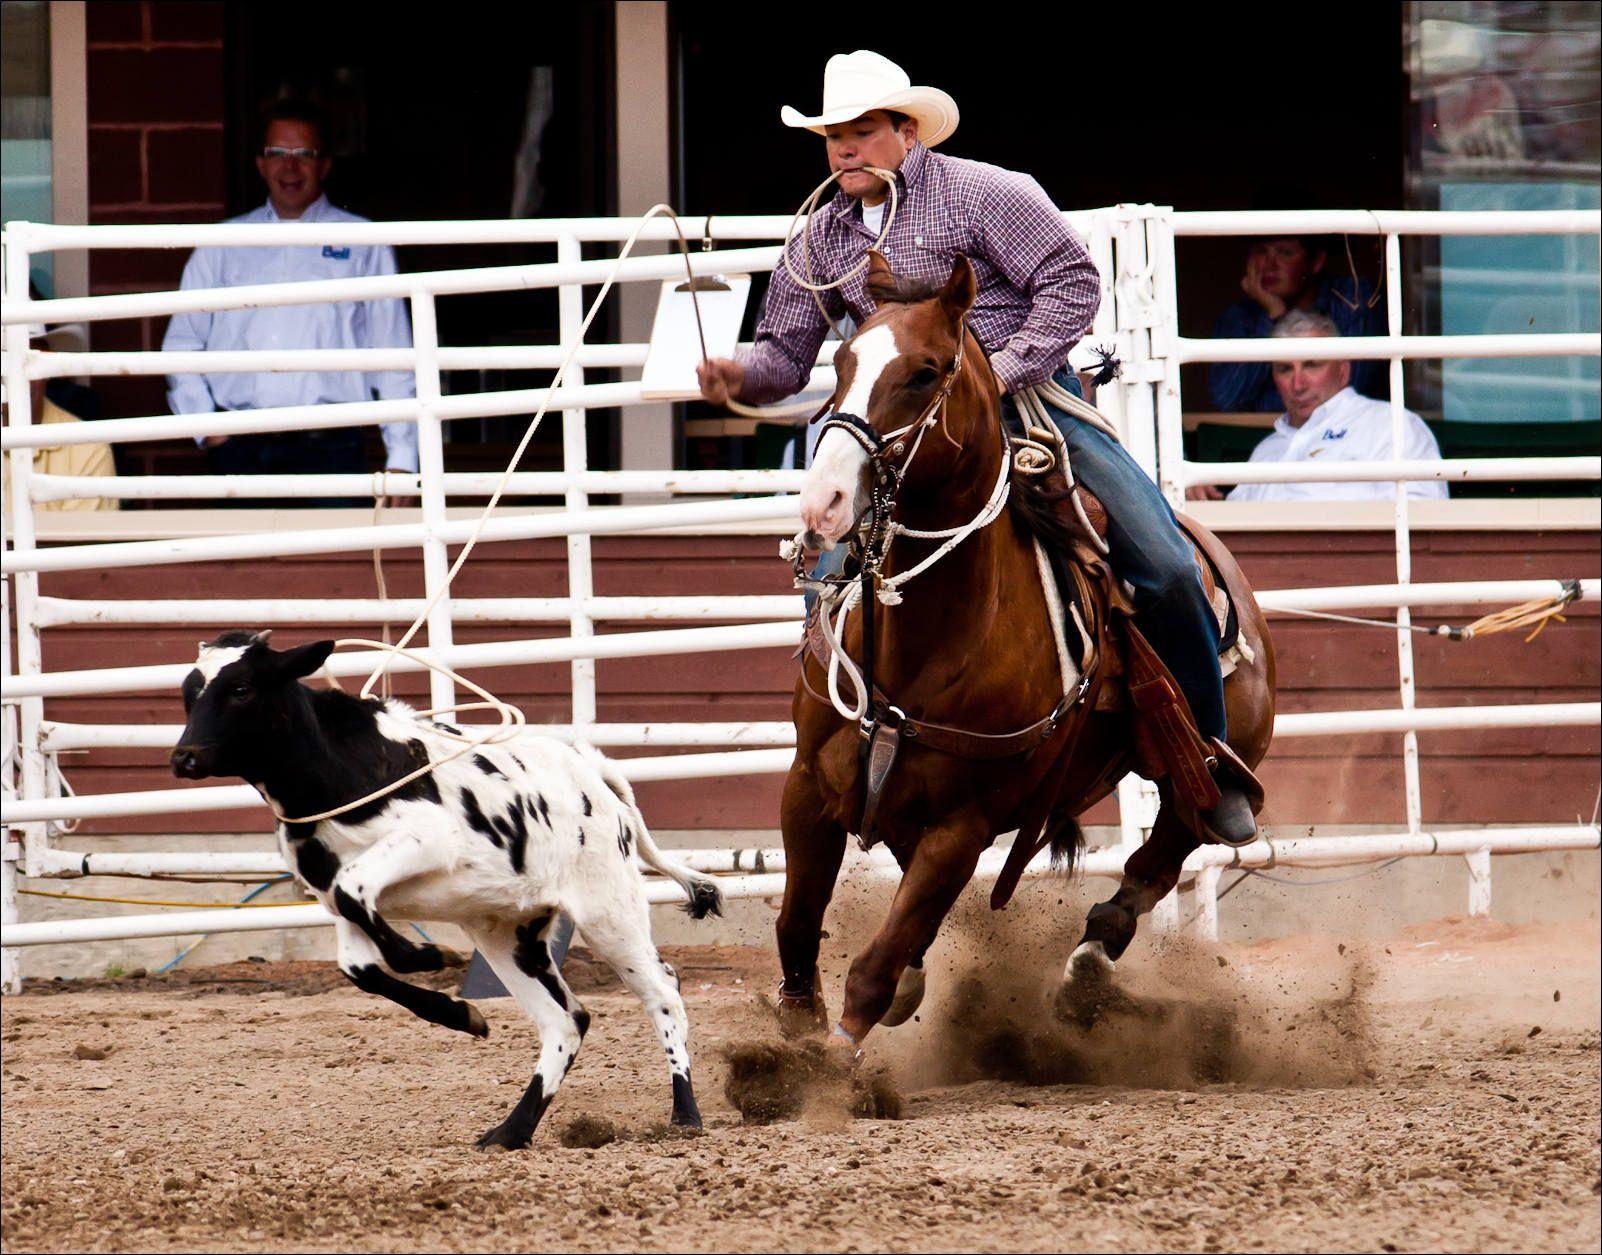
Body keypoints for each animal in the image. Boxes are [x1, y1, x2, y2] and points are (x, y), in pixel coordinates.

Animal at [172, 634, 724, 1154]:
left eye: (241, 688)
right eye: (189, 693)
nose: (184, 757)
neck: (341, 769)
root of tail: (590, 769)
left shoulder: (425, 840)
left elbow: (359, 900)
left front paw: (429, 954)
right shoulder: (334, 897)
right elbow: (358, 962)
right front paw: (461, 1012)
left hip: (608, 910)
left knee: (662, 992)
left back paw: (685, 1114)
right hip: (509, 934)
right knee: (566, 1021)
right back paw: (511, 1131)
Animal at [775, 248, 1275, 1051]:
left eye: (924, 371)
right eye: (844, 360)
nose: (824, 503)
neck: (924, 642)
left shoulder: (963, 827)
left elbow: (875, 967)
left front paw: (830, 1062)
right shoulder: (809, 786)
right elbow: (796, 924)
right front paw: (789, 1037)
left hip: (1200, 772)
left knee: (1157, 858)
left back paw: (1088, 972)